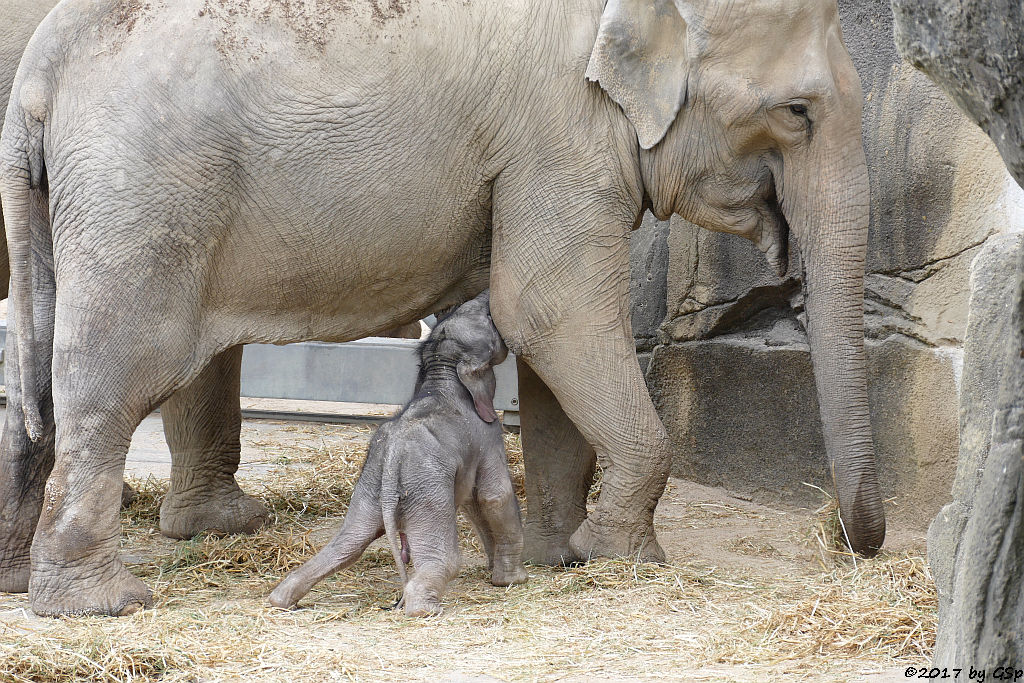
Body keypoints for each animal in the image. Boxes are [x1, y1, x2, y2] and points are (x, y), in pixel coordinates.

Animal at [270, 290, 528, 618]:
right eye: (487, 317)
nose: (486, 295)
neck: (441, 369)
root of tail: (393, 460)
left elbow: (473, 501)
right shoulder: (487, 434)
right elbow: (494, 495)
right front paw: (513, 581)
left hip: (370, 486)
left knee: (349, 543)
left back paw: (282, 600)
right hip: (426, 493)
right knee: (444, 560)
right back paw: (425, 610)